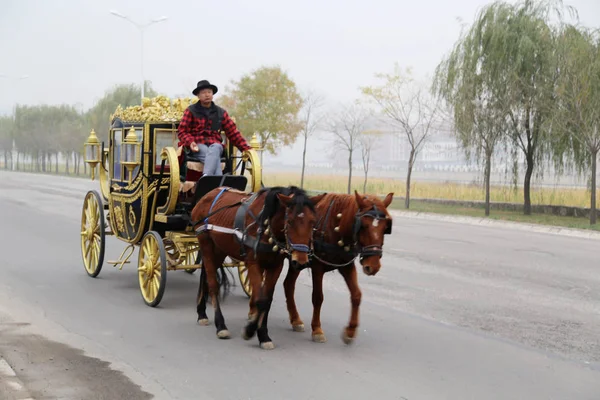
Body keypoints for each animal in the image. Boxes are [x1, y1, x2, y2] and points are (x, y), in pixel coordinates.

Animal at [191, 186, 324, 348]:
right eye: (290, 221)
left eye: (313, 222)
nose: (301, 261)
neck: (266, 225)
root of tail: (207, 195)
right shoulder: (254, 264)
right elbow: (259, 299)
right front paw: (250, 330)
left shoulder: (275, 266)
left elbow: (266, 300)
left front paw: (263, 335)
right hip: (206, 245)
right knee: (213, 285)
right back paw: (221, 325)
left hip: (219, 249)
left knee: (205, 275)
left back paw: (201, 313)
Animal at [282, 191, 394, 344]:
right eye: (363, 226)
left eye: (385, 228)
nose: (373, 266)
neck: (336, 227)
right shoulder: (317, 267)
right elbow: (318, 297)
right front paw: (317, 329)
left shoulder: (346, 266)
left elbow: (356, 295)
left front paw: (350, 330)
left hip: (297, 262)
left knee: (288, 284)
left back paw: (295, 320)